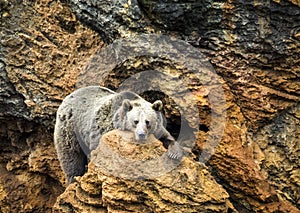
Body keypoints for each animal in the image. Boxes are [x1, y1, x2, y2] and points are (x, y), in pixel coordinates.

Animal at [54, 85, 183, 184]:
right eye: (135, 121)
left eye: (147, 121)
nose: (141, 134)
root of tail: (68, 97)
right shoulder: (103, 129)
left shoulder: (157, 130)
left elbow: (167, 136)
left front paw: (174, 153)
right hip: (69, 128)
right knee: (71, 156)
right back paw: (73, 179)